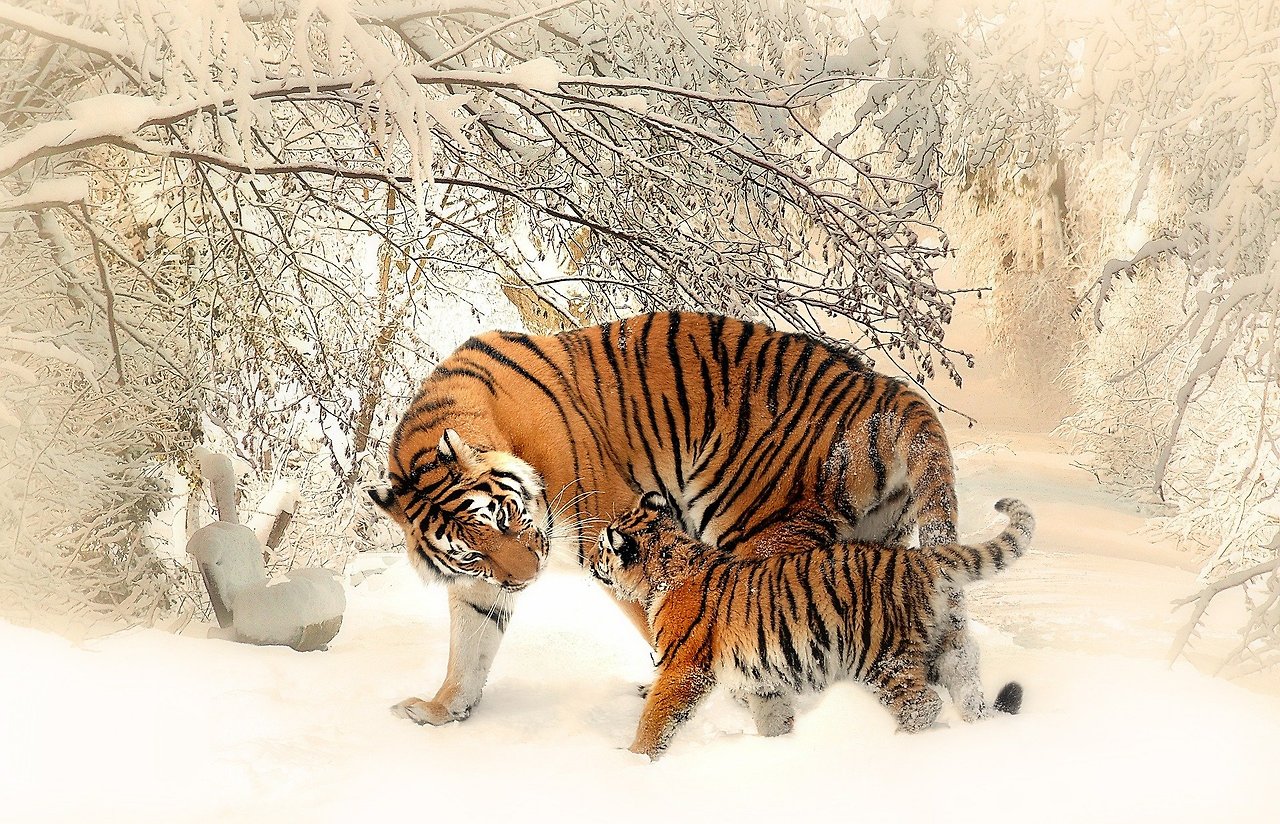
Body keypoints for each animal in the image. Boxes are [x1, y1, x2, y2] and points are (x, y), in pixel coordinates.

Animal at [368, 311, 960, 727]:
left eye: (509, 518)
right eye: (472, 552)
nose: (527, 579)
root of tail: (888, 389)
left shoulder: (609, 531)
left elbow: (657, 621)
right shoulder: (480, 584)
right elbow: (469, 647)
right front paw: (441, 710)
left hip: (756, 528)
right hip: (872, 540)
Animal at [591, 492, 1034, 759]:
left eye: (600, 547)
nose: (590, 561)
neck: (666, 567)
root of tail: (918, 558)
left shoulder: (682, 669)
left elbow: (656, 717)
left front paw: (634, 760)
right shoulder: (763, 679)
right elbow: (773, 717)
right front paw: (780, 749)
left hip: (882, 658)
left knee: (922, 705)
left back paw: (897, 745)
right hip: (945, 648)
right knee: (967, 687)